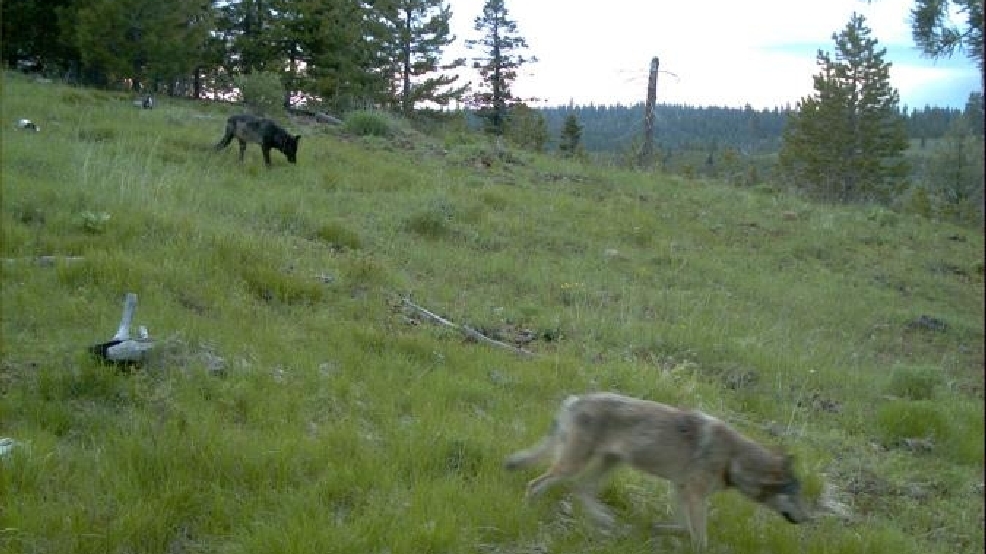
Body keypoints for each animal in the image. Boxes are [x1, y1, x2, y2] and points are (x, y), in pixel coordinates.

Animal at [505, 392, 810, 550]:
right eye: (795, 495)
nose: (809, 519)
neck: (733, 459)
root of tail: (576, 400)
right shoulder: (694, 495)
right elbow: (699, 536)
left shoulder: (681, 489)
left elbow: (682, 526)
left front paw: (656, 529)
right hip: (572, 466)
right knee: (537, 484)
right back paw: (528, 514)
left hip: (609, 464)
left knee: (582, 489)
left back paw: (606, 521)